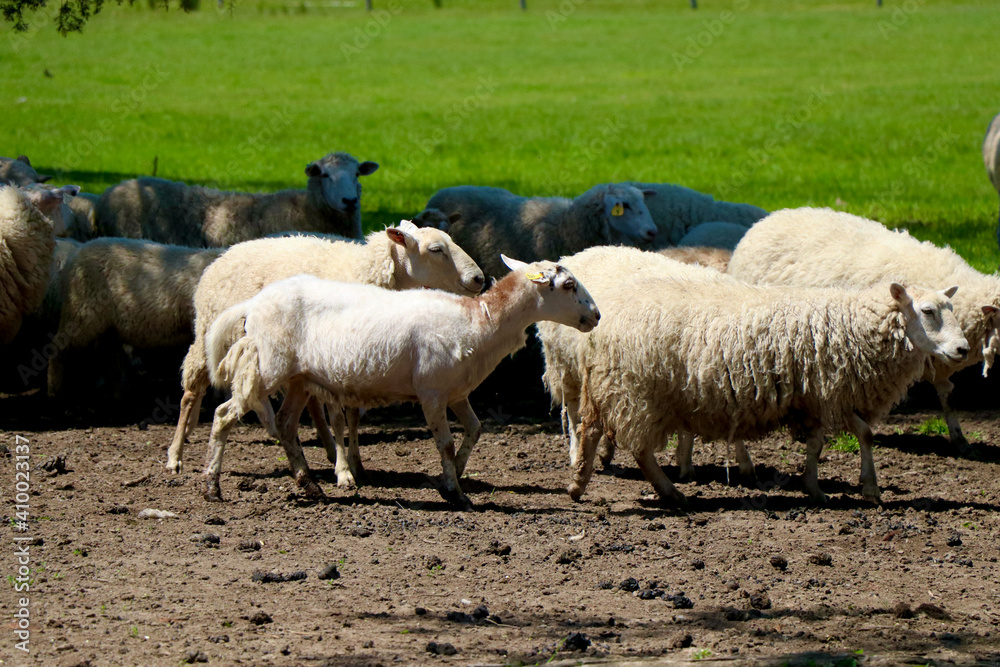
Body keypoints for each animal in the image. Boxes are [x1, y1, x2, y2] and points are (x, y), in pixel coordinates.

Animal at [46, 238, 225, 397]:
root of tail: (74, 256)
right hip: (82, 311)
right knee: (59, 347)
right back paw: (54, 390)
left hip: (107, 325)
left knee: (110, 358)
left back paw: (117, 393)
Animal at [165, 221, 486, 485]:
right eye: (436, 249)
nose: (479, 279)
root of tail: (223, 255)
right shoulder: (340, 358)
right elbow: (339, 418)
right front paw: (345, 472)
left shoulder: (361, 359)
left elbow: (352, 416)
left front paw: (355, 463)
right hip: (209, 334)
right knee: (191, 392)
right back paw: (175, 455)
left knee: (300, 404)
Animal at [201, 256, 600, 507]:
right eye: (568, 284)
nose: (596, 316)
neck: (482, 322)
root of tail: (253, 303)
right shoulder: (432, 391)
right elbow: (445, 444)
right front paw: (455, 493)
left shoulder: (456, 392)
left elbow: (474, 430)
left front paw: (455, 476)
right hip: (270, 366)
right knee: (223, 415)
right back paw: (212, 486)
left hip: (299, 377)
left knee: (285, 425)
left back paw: (310, 485)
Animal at [571, 275, 967, 504]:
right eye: (928, 311)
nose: (963, 349)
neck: (854, 325)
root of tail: (600, 329)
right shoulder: (826, 394)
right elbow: (830, 441)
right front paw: (825, 488)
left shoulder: (823, 398)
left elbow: (856, 436)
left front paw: (854, 487)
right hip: (636, 393)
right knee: (639, 448)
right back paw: (669, 491)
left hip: (608, 389)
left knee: (589, 430)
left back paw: (578, 484)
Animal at [727, 207, 1000, 449]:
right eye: (927, 312)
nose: (962, 349)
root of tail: (767, 220)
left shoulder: (936, 359)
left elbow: (948, 396)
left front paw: (960, 439)